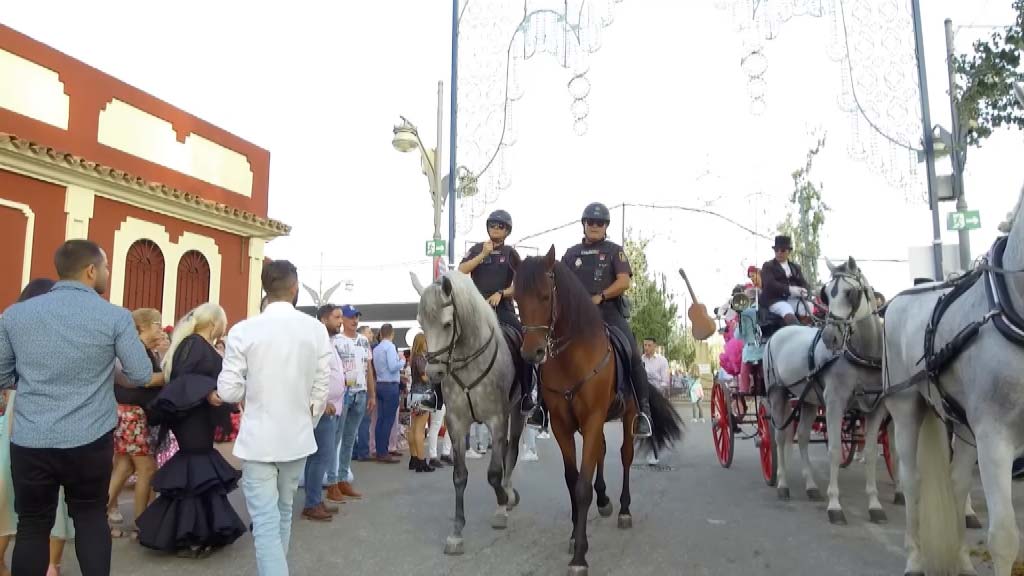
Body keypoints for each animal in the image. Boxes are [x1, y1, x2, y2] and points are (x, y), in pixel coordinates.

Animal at [411, 270, 528, 553]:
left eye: (447, 324)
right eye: (422, 325)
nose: (433, 373)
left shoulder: (497, 419)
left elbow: (494, 474)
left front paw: (502, 504)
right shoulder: (456, 424)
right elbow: (459, 476)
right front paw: (456, 532)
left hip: (517, 412)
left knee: (511, 451)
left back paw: (508, 494)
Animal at [516, 245, 684, 573]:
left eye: (544, 295)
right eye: (517, 298)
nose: (532, 353)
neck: (571, 357)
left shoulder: (592, 419)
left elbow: (583, 485)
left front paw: (580, 556)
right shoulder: (563, 425)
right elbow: (573, 481)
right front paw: (574, 536)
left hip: (628, 417)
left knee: (625, 456)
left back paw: (623, 509)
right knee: (603, 452)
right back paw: (604, 499)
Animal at [880, 177, 1024, 569]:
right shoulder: (994, 436)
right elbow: (1004, 538)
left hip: (962, 423)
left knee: (957, 483)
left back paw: (961, 560)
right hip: (905, 407)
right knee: (912, 480)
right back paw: (914, 558)